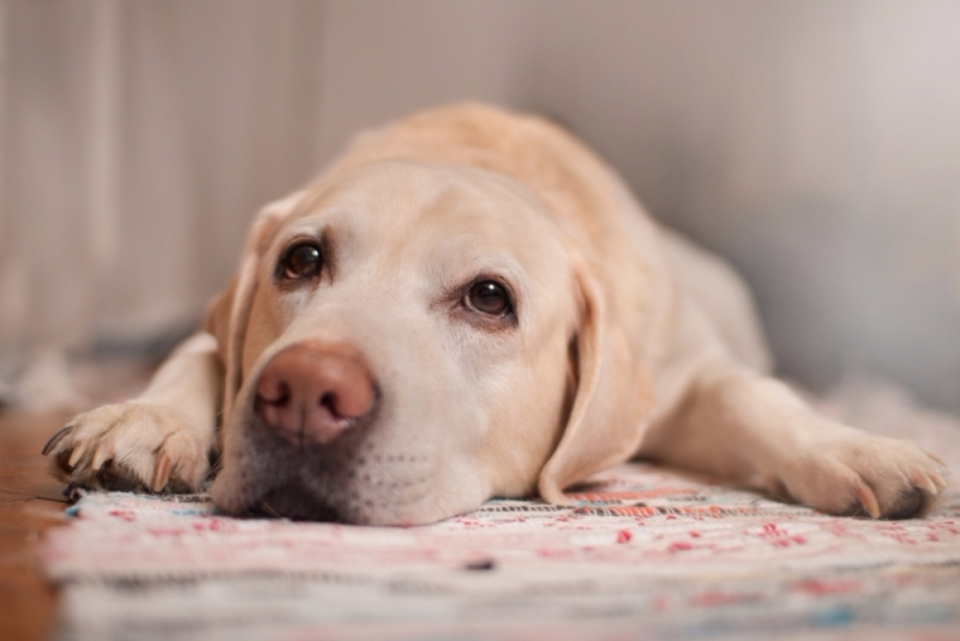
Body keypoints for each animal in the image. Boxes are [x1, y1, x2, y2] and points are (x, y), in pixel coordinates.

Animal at [43, 102, 944, 524]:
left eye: (488, 298)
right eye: (300, 260)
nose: (302, 392)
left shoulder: (688, 373)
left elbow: (756, 395)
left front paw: (855, 447)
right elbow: (199, 354)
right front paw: (144, 417)